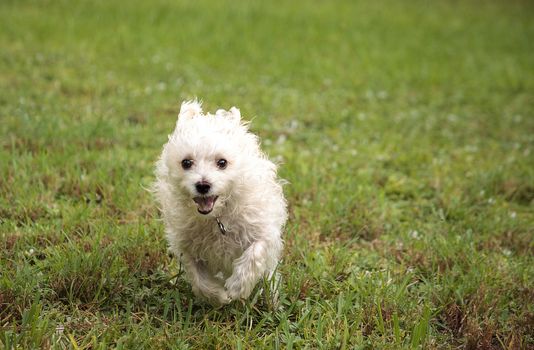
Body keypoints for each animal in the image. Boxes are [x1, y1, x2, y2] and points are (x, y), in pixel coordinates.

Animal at [154, 100, 288, 304]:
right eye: (186, 162)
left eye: (222, 162)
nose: (203, 185)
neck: (218, 216)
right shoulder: (187, 245)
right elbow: (198, 278)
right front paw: (218, 296)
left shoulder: (263, 230)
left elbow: (255, 252)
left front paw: (237, 287)